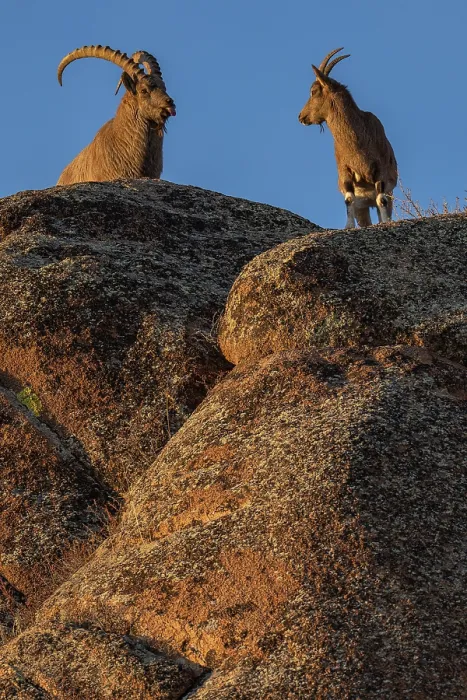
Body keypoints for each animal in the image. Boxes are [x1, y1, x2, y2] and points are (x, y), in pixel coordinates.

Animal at [298, 48, 397, 228]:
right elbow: (348, 199)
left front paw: (386, 223)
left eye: (313, 91)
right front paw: (348, 226)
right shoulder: (345, 172)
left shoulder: (381, 172)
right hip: (362, 206)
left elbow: (382, 200)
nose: (301, 117)